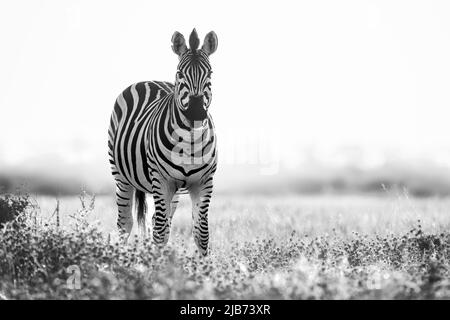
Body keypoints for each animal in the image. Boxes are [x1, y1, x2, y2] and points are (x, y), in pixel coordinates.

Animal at [106, 29, 217, 255]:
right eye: (180, 74)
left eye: (210, 74)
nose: (196, 113)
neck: (190, 142)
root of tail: (147, 80)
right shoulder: (161, 179)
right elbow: (160, 232)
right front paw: (156, 264)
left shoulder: (204, 181)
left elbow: (201, 233)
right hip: (121, 176)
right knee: (125, 223)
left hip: (173, 191)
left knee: (160, 219)